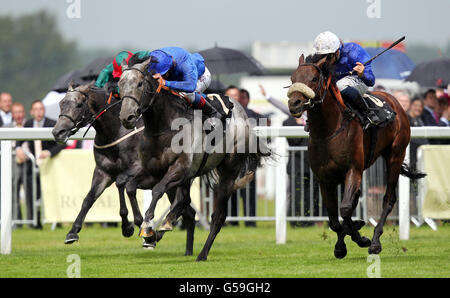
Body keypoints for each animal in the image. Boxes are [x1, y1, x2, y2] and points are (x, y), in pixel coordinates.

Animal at [51, 82, 196, 255]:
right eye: (61, 104)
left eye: (79, 105)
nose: (57, 132)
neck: (115, 132)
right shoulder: (102, 172)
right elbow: (89, 198)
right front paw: (73, 232)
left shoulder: (138, 168)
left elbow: (121, 183)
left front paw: (131, 225)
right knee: (188, 212)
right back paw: (182, 248)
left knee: (183, 203)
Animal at [117, 57, 270, 260]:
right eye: (120, 84)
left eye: (140, 83)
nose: (126, 117)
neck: (164, 126)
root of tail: (242, 112)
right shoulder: (153, 171)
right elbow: (130, 186)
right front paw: (138, 224)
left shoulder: (179, 168)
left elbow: (157, 191)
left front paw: (148, 228)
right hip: (189, 176)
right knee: (184, 201)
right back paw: (166, 227)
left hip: (228, 172)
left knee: (218, 216)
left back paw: (201, 254)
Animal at [288, 54, 426, 258]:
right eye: (292, 79)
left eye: (313, 78)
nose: (294, 104)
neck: (329, 131)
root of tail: (395, 102)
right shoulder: (324, 179)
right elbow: (334, 219)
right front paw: (341, 245)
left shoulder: (353, 170)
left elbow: (345, 209)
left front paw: (362, 239)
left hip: (395, 155)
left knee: (388, 199)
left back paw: (375, 242)